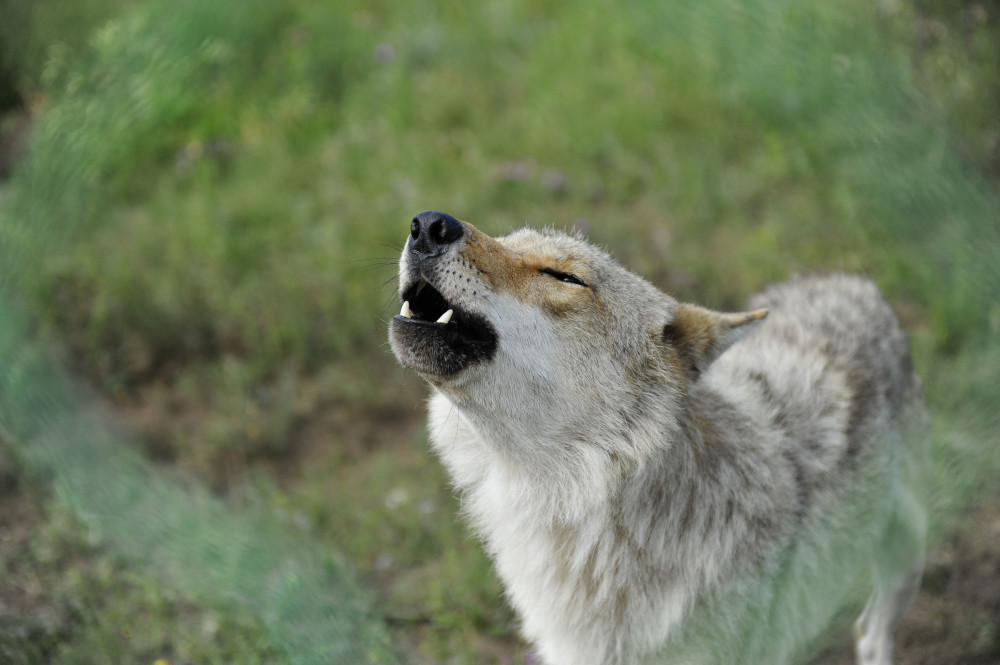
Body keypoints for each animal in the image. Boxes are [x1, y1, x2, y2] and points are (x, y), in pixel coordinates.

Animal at [386, 210, 924, 664]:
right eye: (506, 241)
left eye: (563, 277)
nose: (428, 223)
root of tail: (851, 280)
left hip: (904, 547)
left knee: (874, 629)